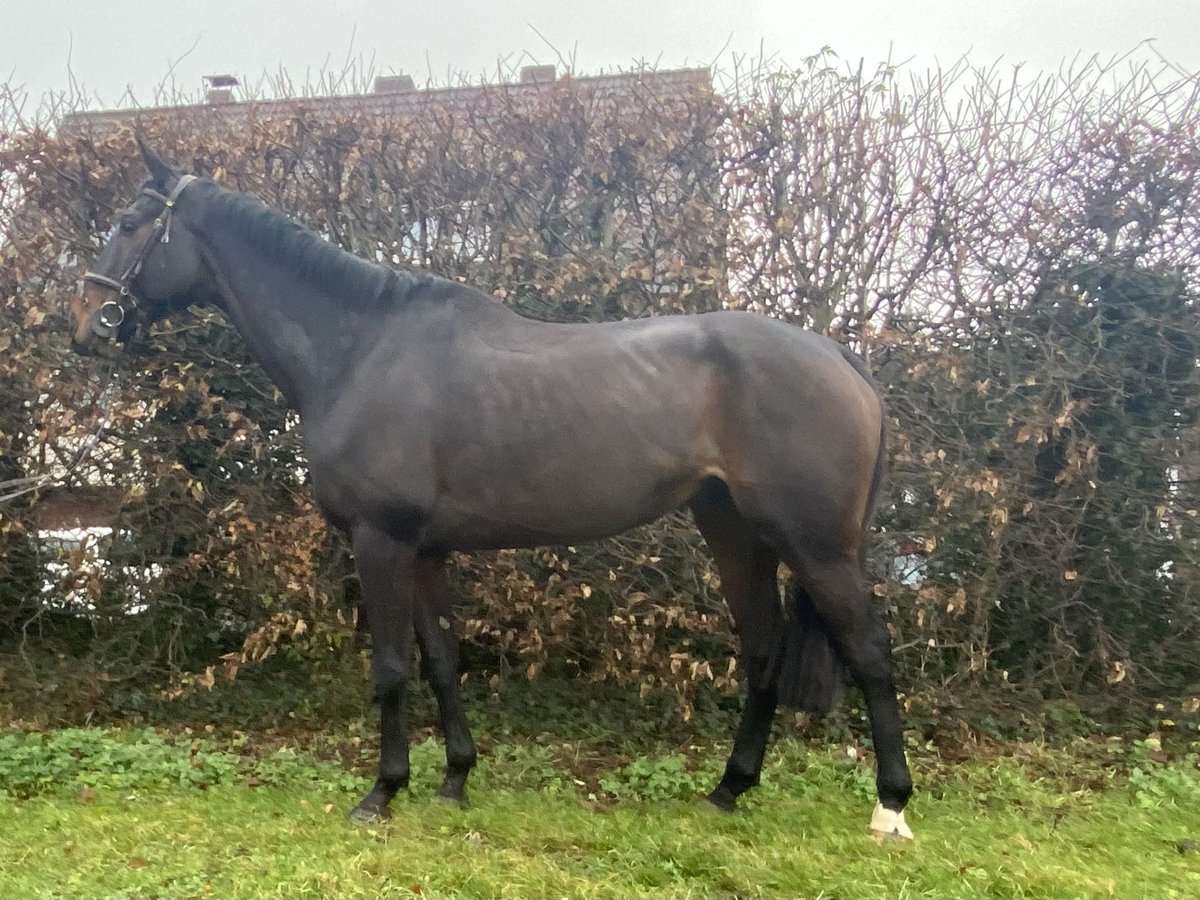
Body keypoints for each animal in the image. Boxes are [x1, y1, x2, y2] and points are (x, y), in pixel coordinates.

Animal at [70, 141, 912, 840]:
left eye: (130, 222)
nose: (84, 322)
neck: (361, 349)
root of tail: (836, 355)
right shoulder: (425, 552)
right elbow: (442, 660)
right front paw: (454, 781)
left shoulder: (381, 540)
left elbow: (390, 665)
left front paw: (381, 794)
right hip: (735, 533)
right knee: (764, 650)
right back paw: (728, 791)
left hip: (817, 547)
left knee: (870, 653)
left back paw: (891, 808)